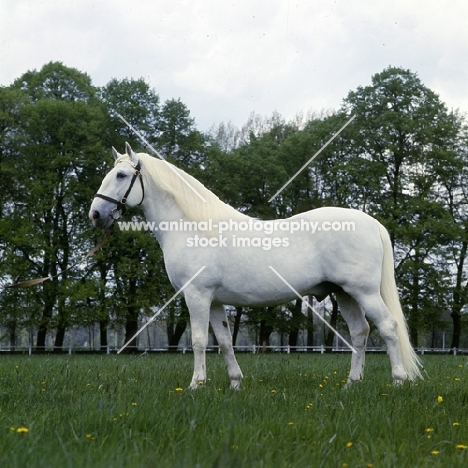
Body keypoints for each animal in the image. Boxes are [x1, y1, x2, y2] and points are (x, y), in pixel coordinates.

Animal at [89, 142, 422, 388]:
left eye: (121, 175)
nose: (95, 214)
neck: (193, 226)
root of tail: (373, 223)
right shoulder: (214, 301)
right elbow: (224, 341)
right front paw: (236, 382)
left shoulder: (196, 296)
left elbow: (198, 341)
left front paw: (196, 384)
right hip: (344, 293)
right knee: (360, 332)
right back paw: (351, 383)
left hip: (363, 292)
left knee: (388, 327)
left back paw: (398, 380)